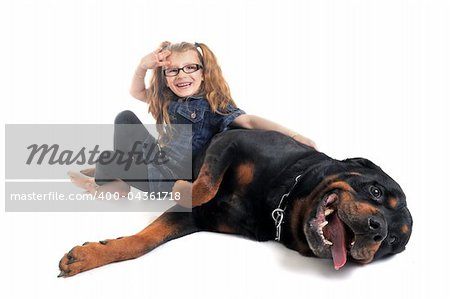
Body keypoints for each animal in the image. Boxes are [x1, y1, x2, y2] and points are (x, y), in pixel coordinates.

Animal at [58, 130, 414, 278]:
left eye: (392, 243)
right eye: (376, 191)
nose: (378, 230)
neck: (282, 201)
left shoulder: (197, 219)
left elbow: (145, 241)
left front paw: (89, 255)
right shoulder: (232, 140)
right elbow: (202, 187)